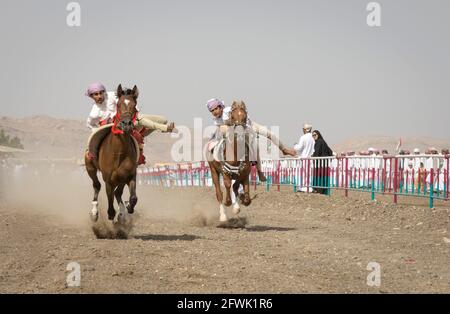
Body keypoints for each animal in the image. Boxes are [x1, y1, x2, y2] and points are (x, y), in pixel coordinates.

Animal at [85, 83, 140, 221]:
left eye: (134, 105)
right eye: (118, 105)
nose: (126, 124)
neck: (119, 153)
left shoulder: (130, 175)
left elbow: (133, 198)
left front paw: (127, 207)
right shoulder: (108, 180)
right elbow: (110, 204)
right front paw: (112, 215)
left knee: (117, 192)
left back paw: (121, 213)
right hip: (90, 167)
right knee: (97, 185)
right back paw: (95, 212)